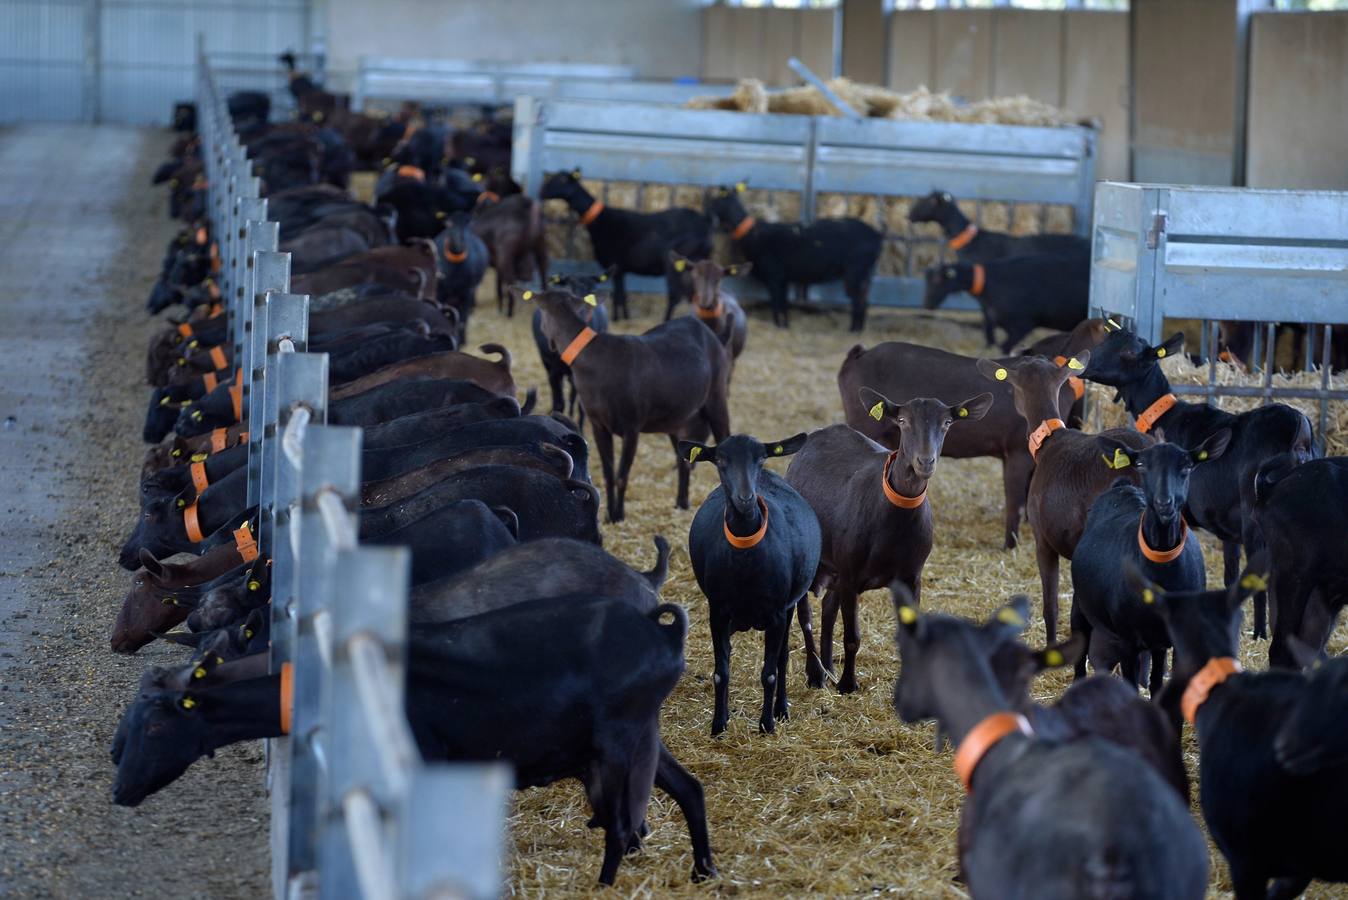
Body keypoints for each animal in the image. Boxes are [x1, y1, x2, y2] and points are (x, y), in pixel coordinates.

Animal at [523, 281, 733, 520]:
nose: (547, 342)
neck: (594, 358)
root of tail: (715, 336)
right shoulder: (598, 424)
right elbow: (608, 473)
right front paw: (609, 514)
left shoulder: (632, 424)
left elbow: (622, 475)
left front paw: (619, 514)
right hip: (678, 417)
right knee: (683, 460)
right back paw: (681, 503)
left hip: (716, 394)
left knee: (724, 435)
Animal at [787, 382, 997, 695]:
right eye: (902, 420)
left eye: (947, 423)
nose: (925, 461)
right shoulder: (851, 575)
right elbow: (852, 636)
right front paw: (848, 685)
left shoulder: (911, 577)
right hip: (812, 556)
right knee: (805, 613)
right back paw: (815, 674)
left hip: (836, 565)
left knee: (827, 607)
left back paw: (829, 667)